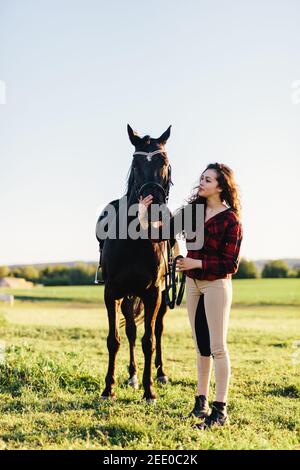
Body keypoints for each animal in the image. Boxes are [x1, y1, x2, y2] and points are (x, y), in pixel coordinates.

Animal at [97, 124, 179, 400]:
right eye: (135, 163)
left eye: (164, 161)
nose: (152, 203)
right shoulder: (112, 292)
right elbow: (115, 339)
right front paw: (108, 388)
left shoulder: (153, 292)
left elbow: (149, 341)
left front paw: (149, 390)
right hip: (128, 296)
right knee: (131, 331)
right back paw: (132, 376)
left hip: (162, 297)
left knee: (158, 330)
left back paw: (160, 373)